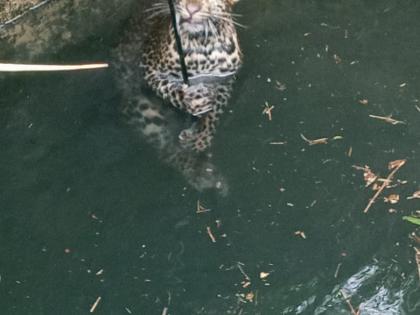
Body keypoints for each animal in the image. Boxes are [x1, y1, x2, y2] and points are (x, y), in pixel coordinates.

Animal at [113, 0, 243, 193]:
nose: (192, 9)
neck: (201, 45)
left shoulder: (225, 79)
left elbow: (215, 111)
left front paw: (200, 139)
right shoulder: (149, 68)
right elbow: (168, 89)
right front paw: (191, 99)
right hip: (142, 109)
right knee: (167, 151)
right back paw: (199, 173)